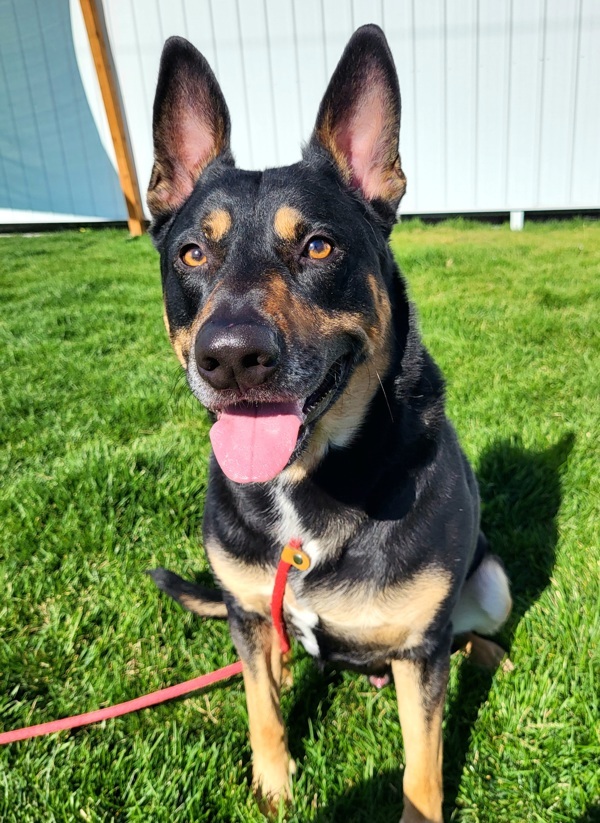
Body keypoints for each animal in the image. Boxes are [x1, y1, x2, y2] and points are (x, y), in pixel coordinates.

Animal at [144, 25, 510, 823]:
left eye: (318, 245)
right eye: (192, 252)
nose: (232, 357)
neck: (305, 485)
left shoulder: (420, 651)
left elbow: (423, 767)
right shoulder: (249, 615)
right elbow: (263, 710)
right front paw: (275, 787)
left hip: (488, 586)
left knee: (471, 632)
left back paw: (491, 653)